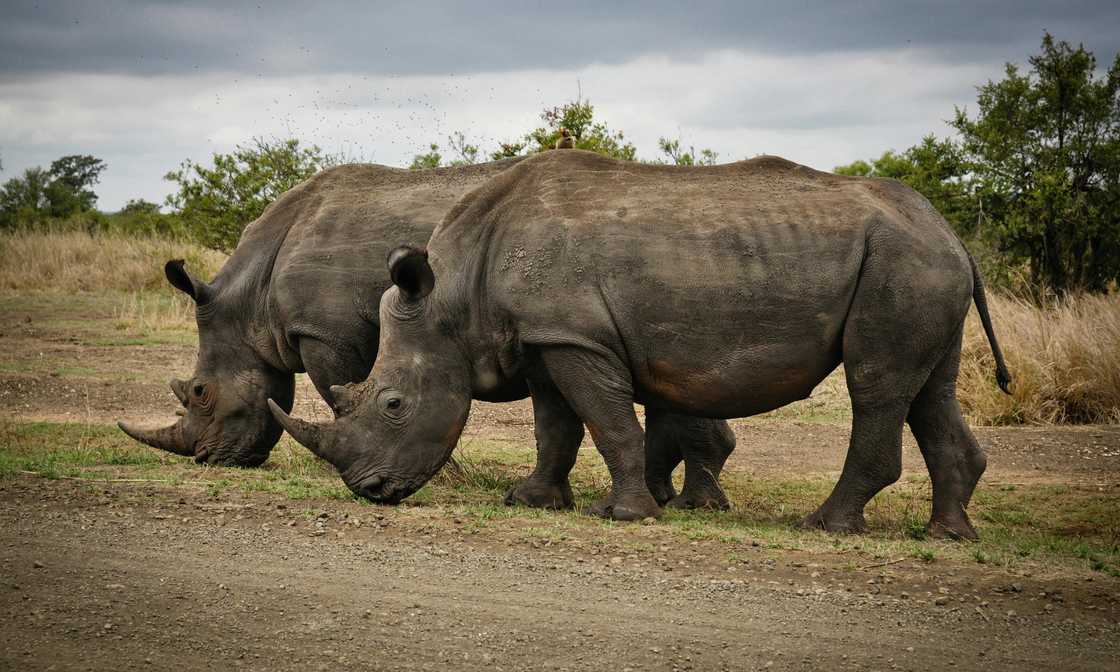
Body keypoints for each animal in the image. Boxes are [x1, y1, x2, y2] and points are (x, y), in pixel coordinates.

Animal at [118, 159, 734, 509]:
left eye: (200, 393)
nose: (205, 458)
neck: (251, 300)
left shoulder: (326, 333)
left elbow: (343, 392)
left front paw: (447, 475)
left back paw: (684, 500)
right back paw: (677, 497)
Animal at [271, 150, 1012, 536]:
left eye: (393, 404)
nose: (370, 490)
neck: (454, 295)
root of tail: (952, 234)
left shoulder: (577, 339)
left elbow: (606, 422)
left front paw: (626, 515)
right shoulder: (547, 338)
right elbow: (556, 426)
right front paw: (532, 501)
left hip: (902, 265)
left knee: (875, 384)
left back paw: (825, 525)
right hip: (917, 265)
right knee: (927, 389)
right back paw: (948, 534)